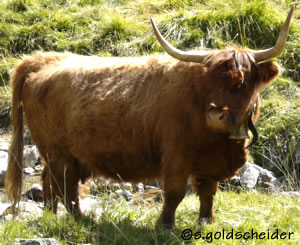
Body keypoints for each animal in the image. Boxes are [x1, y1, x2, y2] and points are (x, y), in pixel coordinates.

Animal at [5, 5, 296, 228]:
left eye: (242, 80)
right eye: (208, 80)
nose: (216, 115)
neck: (219, 142)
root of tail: (43, 59)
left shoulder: (208, 162)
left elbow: (207, 194)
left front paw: (206, 223)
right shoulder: (176, 156)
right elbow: (175, 193)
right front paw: (165, 225)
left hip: (61, 154)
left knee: (50, 183)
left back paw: (52, 216)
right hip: (58, 152)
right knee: (64, 187)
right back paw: (81, 219)